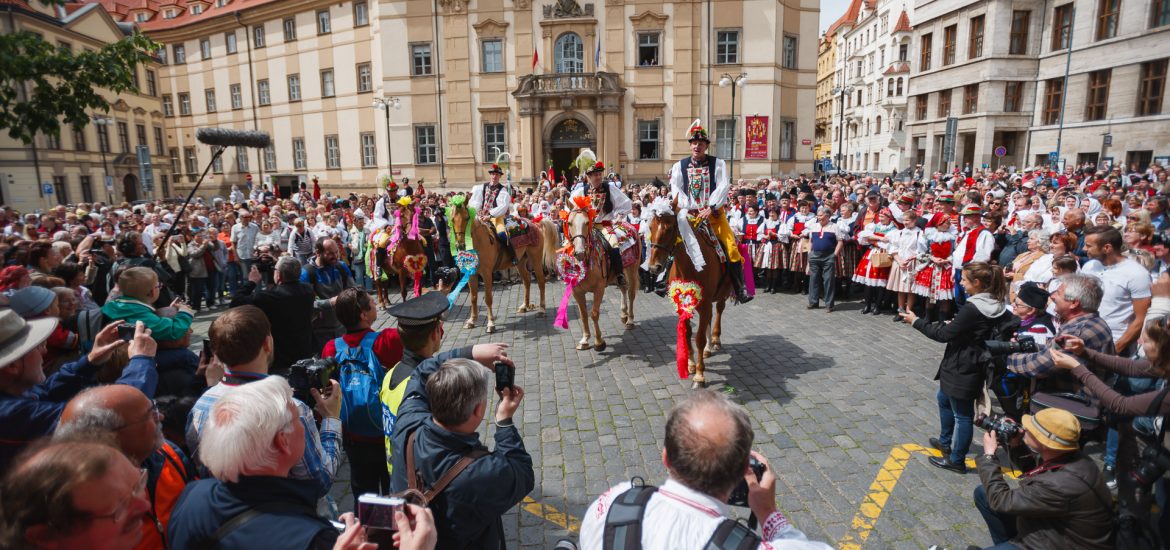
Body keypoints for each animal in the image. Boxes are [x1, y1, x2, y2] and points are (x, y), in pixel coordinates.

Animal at [446, 201, 556, 330]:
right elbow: (473, 298)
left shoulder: (487, 273)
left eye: (467, 218)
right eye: (452, 219)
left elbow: (488, 298)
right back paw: (525, 306)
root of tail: (534, 223)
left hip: (536, 259)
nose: (460, 245)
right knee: (527, 281)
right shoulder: (471, 274)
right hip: (520, 262)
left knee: (540, 282)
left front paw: (490, 323)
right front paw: (472, 321)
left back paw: (542, 310)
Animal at [563, 200, 641, 351]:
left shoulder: (599, 289)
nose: (579, 252)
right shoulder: (577, 291)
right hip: (619, 274)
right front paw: (584, 340)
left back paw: (630, 320)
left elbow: (594, 313)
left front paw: (599, 342)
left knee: (631, 294)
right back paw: (623, 314)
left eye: (587, 222)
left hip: (632, 270)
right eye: (569, 223)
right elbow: (583, 314)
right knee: (623, 288)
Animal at [645, 201, 725, 386]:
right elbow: (688, 335)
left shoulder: (704, 304)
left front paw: (700, 375)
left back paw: (715, 340)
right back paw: (708, 349)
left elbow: (699, 338)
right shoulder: (684, 305)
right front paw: (691, 365)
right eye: (651, 227)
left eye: (670, 228)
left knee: (718, 311)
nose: (654, 267)